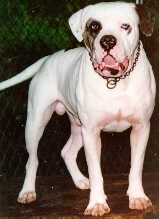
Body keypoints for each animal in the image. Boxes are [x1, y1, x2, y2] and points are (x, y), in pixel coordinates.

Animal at [0, 1, 155, 216]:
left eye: (125, 26)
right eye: (94, 27)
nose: (108, 41)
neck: (115, 81)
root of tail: (48, 58)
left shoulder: (141, 128)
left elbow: (136, 166)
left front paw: (137, 197)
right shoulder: (91, 132)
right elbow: (96, 171)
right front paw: (97, 203)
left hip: (77, 126)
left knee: (67, 152)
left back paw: (81, 180)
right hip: (36, 122)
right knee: (32, 159)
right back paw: (27, 191)